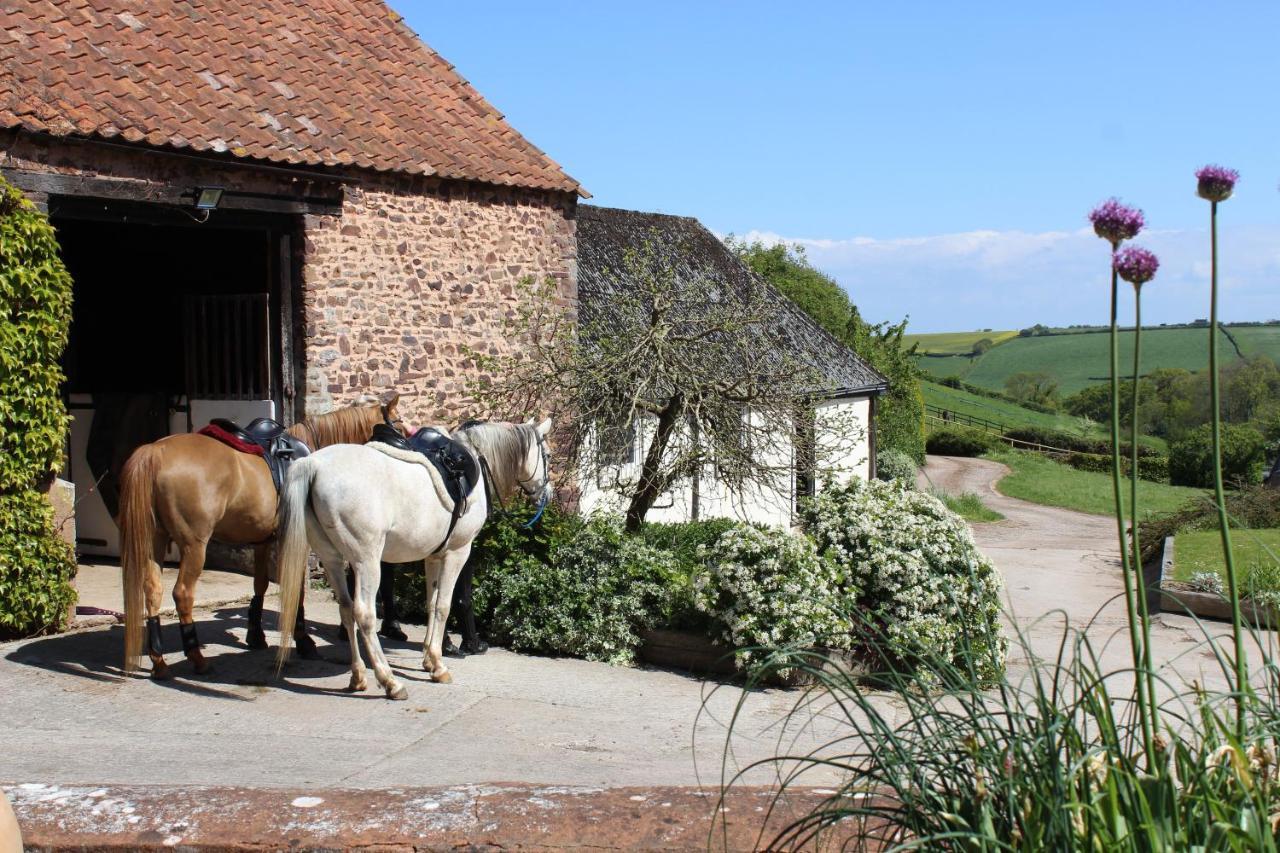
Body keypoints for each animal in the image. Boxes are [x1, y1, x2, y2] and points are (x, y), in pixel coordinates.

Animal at [119, 391, 404, 676]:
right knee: (182, 594)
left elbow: (261, 585)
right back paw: (196, 657)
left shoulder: (262, 542)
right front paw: (304, 640)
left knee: (152, 590)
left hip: (154, 541)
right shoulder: (295, 541)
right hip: (194, 546)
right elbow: (296, 589)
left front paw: (255, 635)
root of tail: (154, 452)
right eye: (399, 426)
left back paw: (159, 660)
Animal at [272, 414, 552, 696]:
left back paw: (358, 676)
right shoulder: (458, 552)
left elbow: (431, 602)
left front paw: (429, 659)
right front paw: (439, 665)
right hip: (366, 561)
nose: (547, 494)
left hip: (331, 559)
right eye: (548, 455)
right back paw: (390, 681)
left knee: (346, 608)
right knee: (364, 613)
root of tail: (314, 464)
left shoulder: (433, 555)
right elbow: (444, 605)